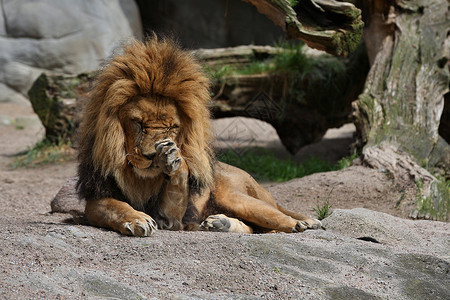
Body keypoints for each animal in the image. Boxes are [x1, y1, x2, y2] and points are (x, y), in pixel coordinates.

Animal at [78, 35, 324, 237]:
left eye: (172, 127)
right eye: (138, 123)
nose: (152, 156)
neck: (140, 180)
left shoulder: (172, 219)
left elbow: (179, 180)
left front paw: (173, 159)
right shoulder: (97, 196)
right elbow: (113, 207)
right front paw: (137, 219)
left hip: (236, 197)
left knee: (274, 219)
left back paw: (301, 224)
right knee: (255, 228)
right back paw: (221, 224)